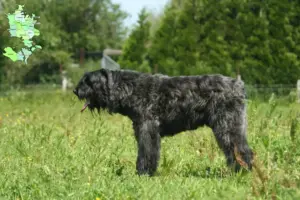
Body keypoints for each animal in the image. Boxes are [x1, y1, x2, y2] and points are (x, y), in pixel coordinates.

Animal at [73, 68, 253, 175]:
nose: (75, 90)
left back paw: (242, 171)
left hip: (227, 127)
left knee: (241, 150)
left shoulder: (147, 129)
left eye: (89, 81)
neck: (130, 89)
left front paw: (144, 173)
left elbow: (147, 152)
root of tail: (238, 85)